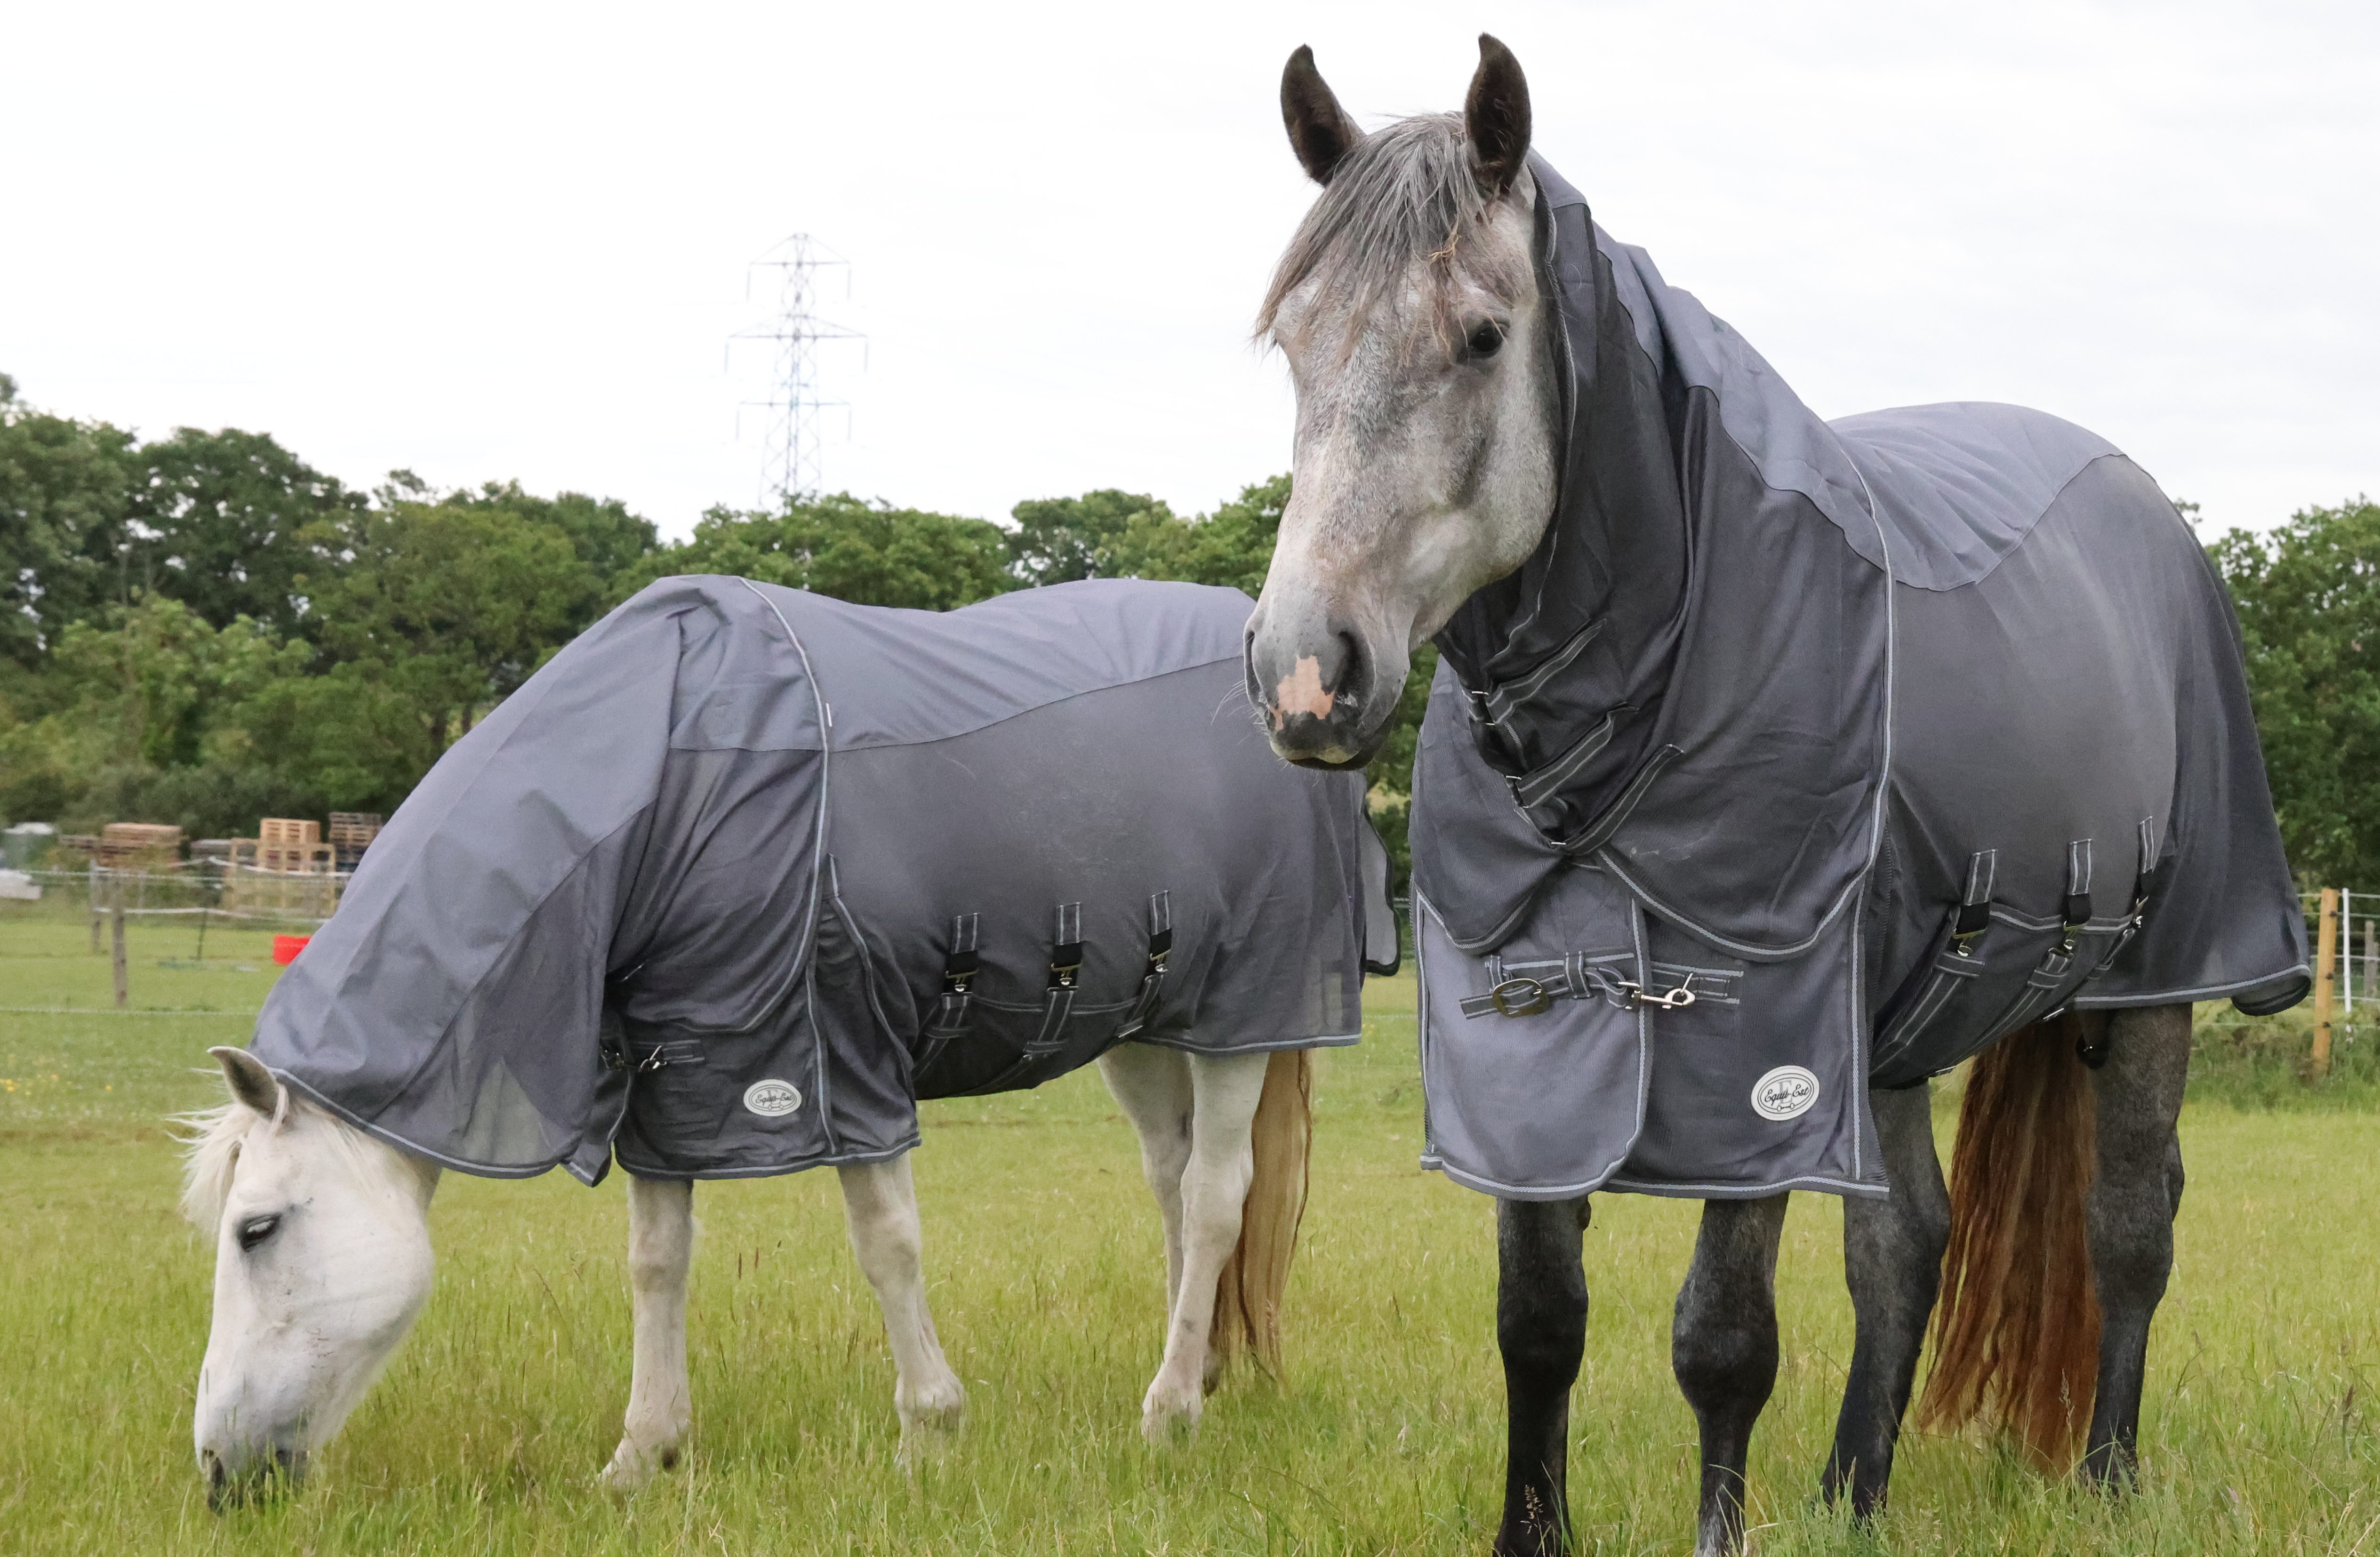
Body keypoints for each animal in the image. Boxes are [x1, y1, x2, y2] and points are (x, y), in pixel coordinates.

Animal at [184, 576, 1395, 1504]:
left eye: (256, 1229)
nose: (219, 1471)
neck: (673, 780)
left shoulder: (831, 1061)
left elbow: (885, 1245)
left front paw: (927, 1432)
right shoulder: (680, 1074)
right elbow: (657, 1261)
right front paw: (641, 1456)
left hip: (1241, 1020)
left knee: (1216, 1196)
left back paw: (1166, 1410)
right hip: (1144, 1032)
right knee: (1174, 1184)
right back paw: (1203, 1377)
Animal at [1243, 37, 2307, 1557]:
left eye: (1483, 338)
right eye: (1293, 341)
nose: (1302, 674)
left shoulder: (1754, 1051)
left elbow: (1721, 1338)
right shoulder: (1530, 1057)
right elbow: (1538, 1323)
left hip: (2155, 978)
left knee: (2126, 1222)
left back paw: (2105, 1476)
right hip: (1896, 1029)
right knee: (1904, 1241)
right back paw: (1851, 1491)